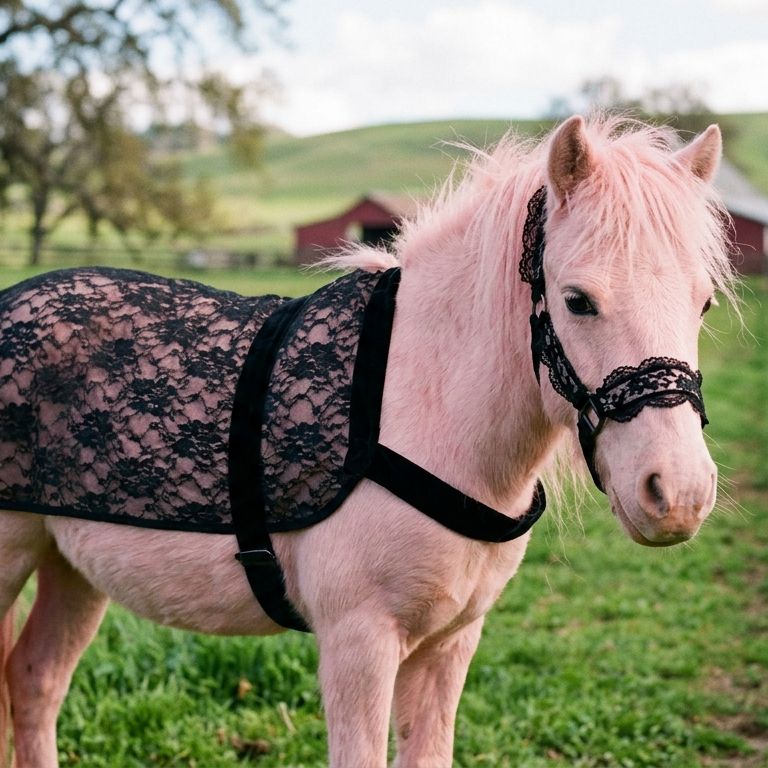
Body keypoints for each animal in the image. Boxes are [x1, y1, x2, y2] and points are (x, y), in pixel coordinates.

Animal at [0, 114, 735, 767]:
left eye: (702, 303)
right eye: (578, 300)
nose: (677, 494)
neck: (421, 403)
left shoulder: (450, 643)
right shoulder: (359, 643)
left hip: (72, 567)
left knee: (34, 683)